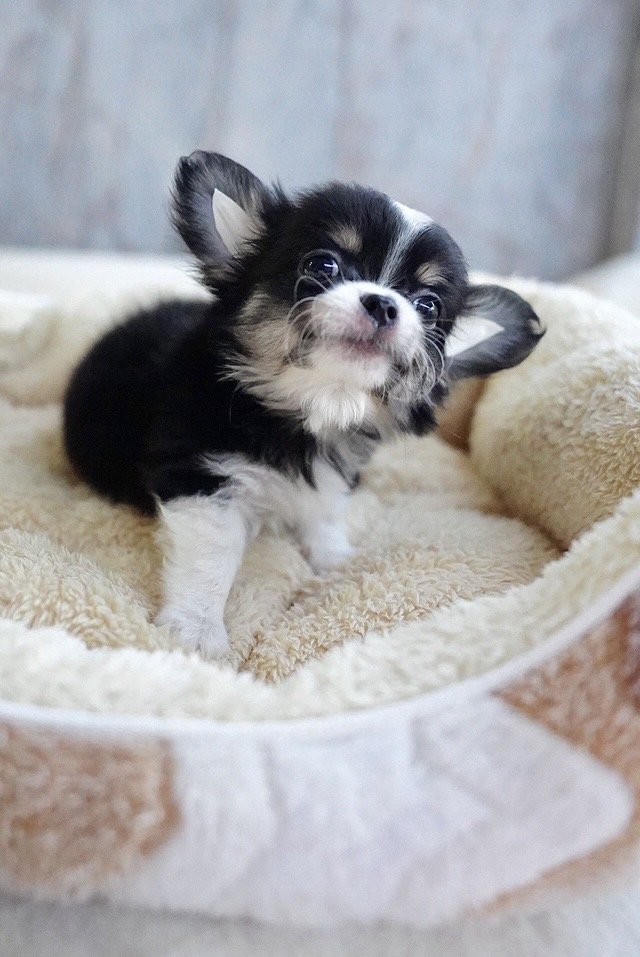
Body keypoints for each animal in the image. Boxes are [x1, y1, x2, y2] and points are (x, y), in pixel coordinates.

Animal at [63, 151, 544, 659]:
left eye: (428, 305)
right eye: (323, 265)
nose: (384, 304)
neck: (310, 407)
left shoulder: (331, 476)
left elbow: (325, 514)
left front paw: (335, 558)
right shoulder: (202, 480)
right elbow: (210, 559)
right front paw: (196, 630)